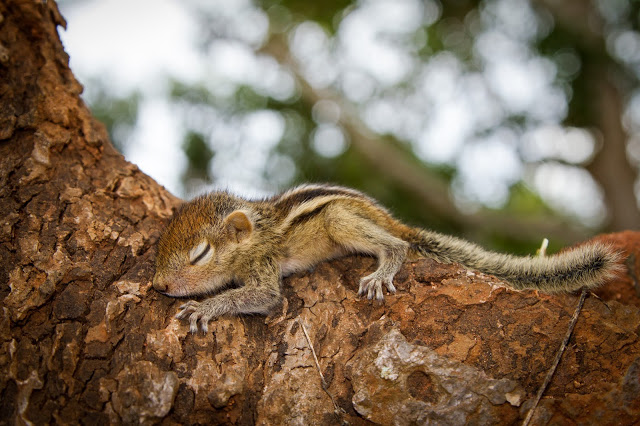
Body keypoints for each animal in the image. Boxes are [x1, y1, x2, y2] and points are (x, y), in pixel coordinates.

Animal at [152, 183, 624, 332]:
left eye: (199, 254)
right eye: (160, 244)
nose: (160, 285)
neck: (257, 233)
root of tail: (389, 218)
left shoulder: (265, 267)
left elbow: (262, 297)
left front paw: (204, 307)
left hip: (341, 220)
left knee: (397, 246)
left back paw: (382, 271)